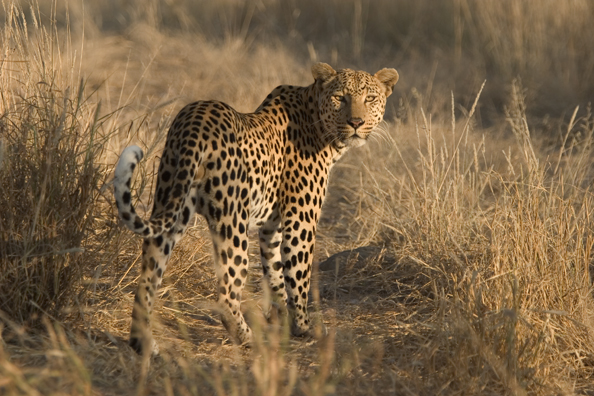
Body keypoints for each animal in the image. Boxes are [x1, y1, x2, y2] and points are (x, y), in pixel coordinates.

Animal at [111, 62, 398, 356]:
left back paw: (143, 343)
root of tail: (195, 121)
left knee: (147, 278)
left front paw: (282, 318)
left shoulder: (273, 226)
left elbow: (275, 271)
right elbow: (299, 275)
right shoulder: (301, 221)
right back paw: (250, 339)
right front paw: (304, 327)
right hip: (232, 222)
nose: (356, 123)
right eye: (340, 97)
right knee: (227, 292)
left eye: (370, 99)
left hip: (171, 204)